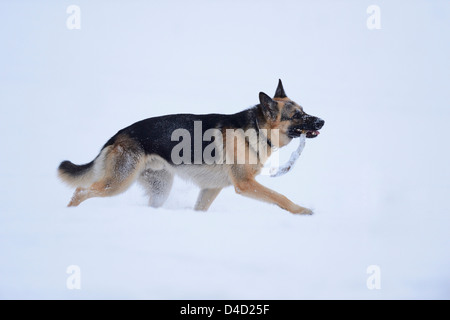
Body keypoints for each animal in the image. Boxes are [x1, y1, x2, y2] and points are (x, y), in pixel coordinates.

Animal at [59, 80, 324, 215]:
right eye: (297, 115)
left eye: (304, 109)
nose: (322, 121)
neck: (257, 129)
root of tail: (116, 136)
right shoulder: (245, 183)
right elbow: (280, 196)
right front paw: (302, 210)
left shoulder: (211, 188)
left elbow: (200, 208)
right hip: (118, 183)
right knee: (80, 191)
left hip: (160, 188)